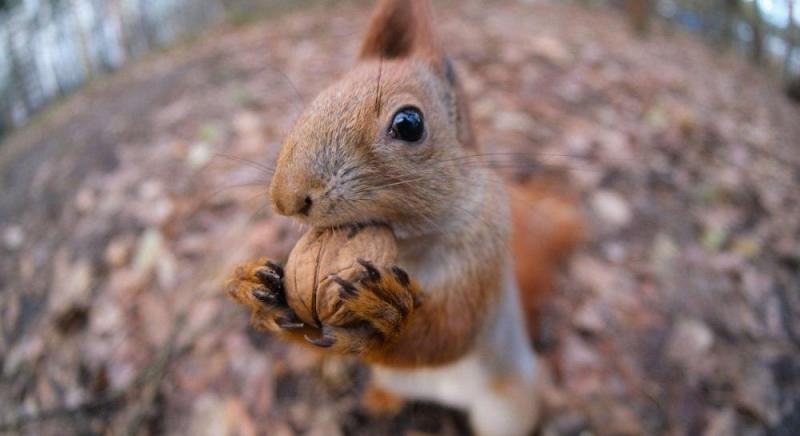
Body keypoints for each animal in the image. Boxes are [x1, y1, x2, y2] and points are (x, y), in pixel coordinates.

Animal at [225, 1, 580, 434]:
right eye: (312, 104)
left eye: (409, 124)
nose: (285, 198)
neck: (405, 244)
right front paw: (258, 288)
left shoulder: (484, 255)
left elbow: (449, 330)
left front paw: (382, 315)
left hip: (507, 408)